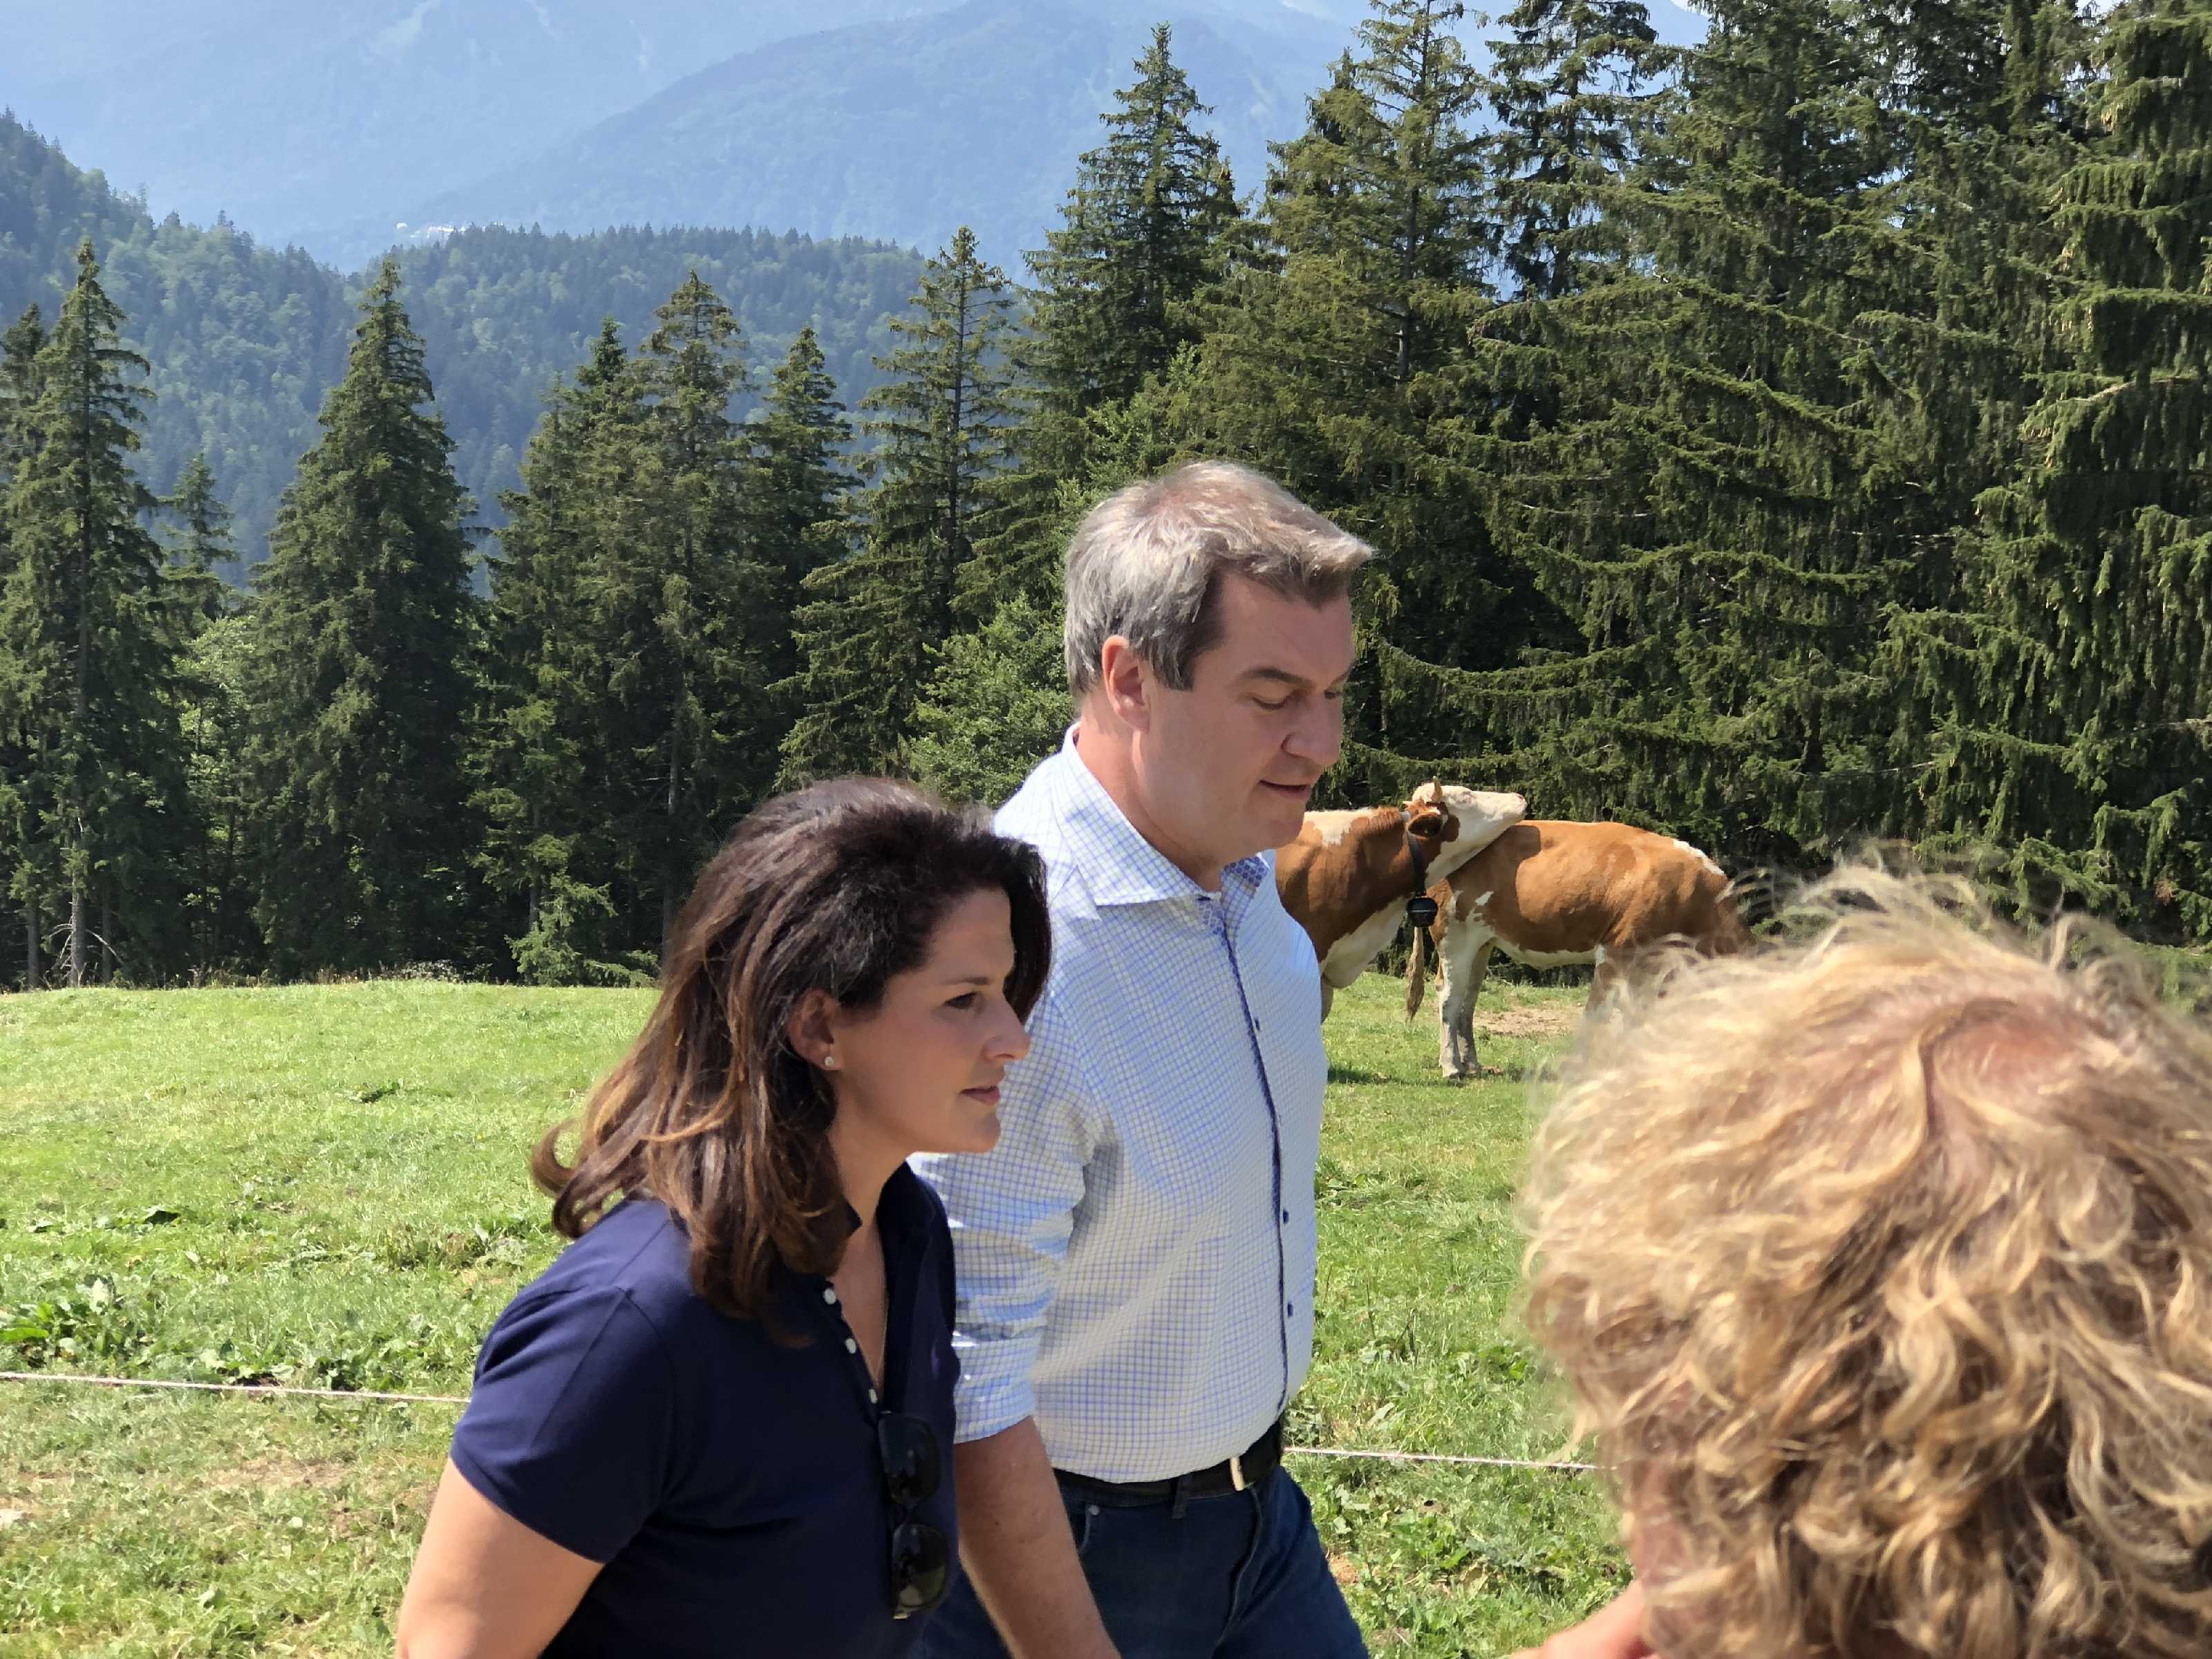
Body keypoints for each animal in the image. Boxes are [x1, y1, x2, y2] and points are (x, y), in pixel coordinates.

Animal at [1406, 821, 1751, 1078]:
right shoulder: (1619, 949)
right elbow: (1598, 1013)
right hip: (1455, 936)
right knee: (1449, 997)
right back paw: (1452, 1067)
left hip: (1482, 943)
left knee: (1468, 999)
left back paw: (1473, 1065)